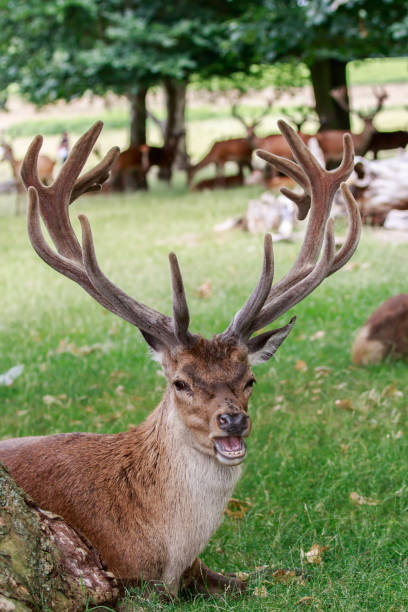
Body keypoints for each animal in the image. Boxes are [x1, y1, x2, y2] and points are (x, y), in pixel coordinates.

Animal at [0, 122, 362, 600]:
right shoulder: (125, 578)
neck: (166, 556)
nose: (233, 420)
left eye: (250, 379)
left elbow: (266, 579)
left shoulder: (198, 569)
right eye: (181, 382)